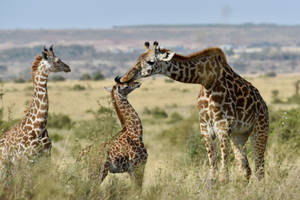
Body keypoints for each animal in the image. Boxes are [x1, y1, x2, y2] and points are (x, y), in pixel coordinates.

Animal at [119, 41, 270, 184]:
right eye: (138, 58)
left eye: (150, 61)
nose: (123, 78)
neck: (207, 80)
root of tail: (263, 104)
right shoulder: (205, 128)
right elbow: (213, 172)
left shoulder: (223, 126)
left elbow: (223, 175)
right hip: (239, 135)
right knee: (246, 169)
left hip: (259, 130)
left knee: (259, 168)